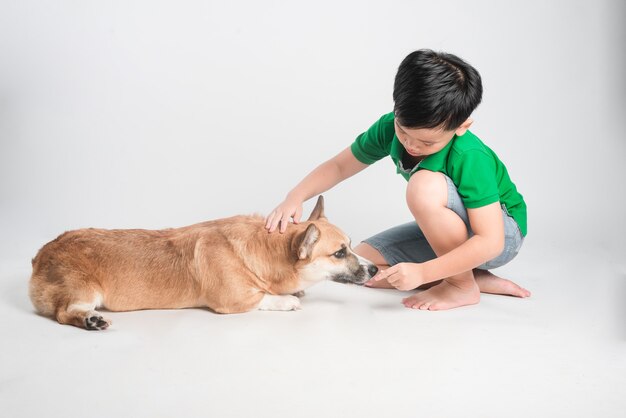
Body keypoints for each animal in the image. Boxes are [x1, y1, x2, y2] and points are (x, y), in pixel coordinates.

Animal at [28, 196, 376, 330]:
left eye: (350, 245)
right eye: (339, 253)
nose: (374, 269)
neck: (265, 252)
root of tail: (40, 255)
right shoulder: (234, 300)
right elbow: (265, 298)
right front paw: (287, 300)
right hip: (85, 291)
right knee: (63, 313)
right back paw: (90, 320)